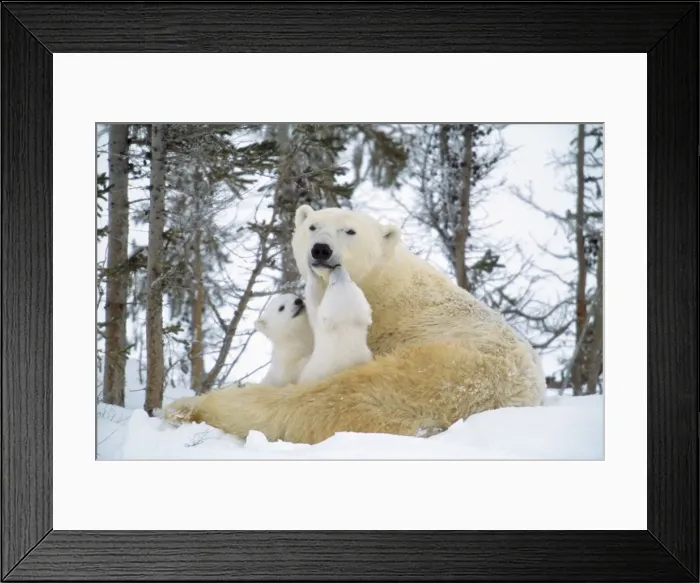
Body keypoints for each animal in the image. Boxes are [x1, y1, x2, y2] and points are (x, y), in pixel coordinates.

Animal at [163, 204, 547, 445]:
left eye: (350, 231)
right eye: (312, 226)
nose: (320, 249)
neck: (388, 286)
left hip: (444, 372)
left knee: (332, 401)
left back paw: (189, 406)